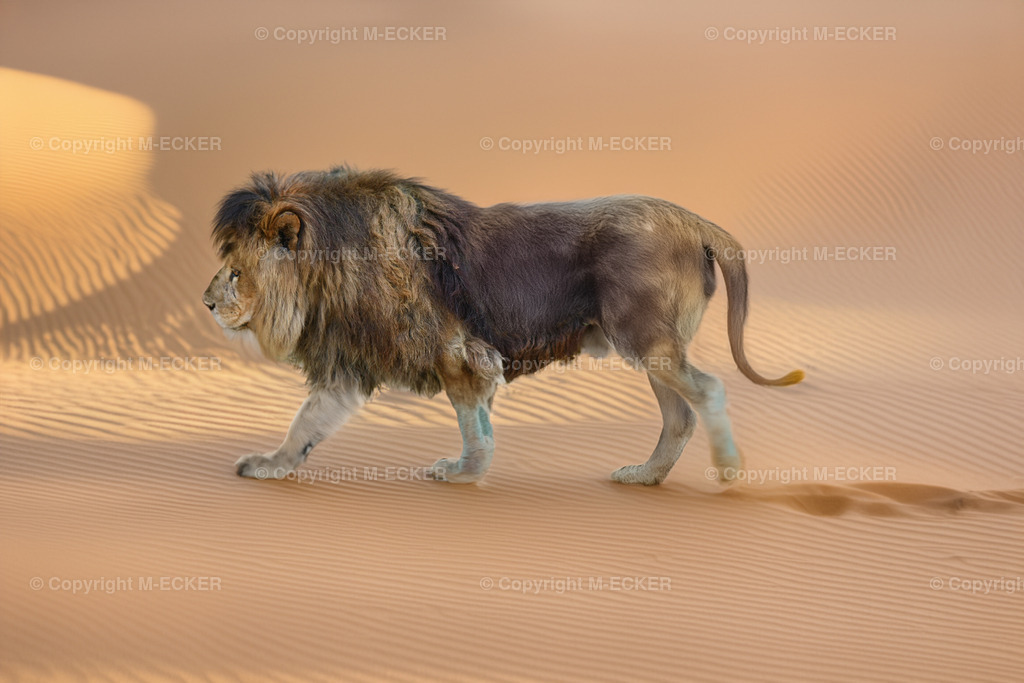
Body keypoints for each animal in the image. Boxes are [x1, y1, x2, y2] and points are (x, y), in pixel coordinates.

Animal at [202, 166, 803, 485]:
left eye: (235, 271)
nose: (206, 303)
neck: (329, 273)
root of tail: (697, 221)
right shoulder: (353, 364)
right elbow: (306, 423)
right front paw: (271, 464)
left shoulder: (456, 352)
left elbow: (474, 425)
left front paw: (463, 473)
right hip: (651, 346)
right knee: (679, 415)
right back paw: (645, 476)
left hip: (645, 339)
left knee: (709, 388)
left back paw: (729, 469)